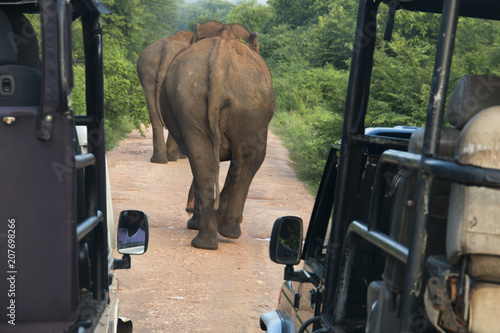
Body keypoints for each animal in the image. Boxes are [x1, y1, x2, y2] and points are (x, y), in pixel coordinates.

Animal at [161, 24, 276, 249]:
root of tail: (220, 61)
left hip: (231, 103)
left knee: (209, 160)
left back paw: (210, 238)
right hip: (240, 103)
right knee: (244, 160)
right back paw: (222, 232)